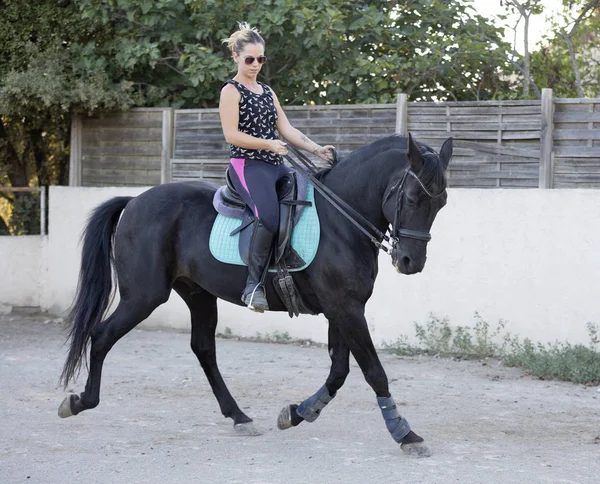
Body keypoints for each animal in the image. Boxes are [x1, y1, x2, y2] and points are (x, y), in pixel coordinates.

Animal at [59, 133, 450, 458]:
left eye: (441, 203)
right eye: (411, 198)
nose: (410, 262)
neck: (340, 221)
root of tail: (135, 201)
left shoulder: (341, 308)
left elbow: (339, 371)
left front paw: (297, 412)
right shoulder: (345, 308)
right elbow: (373, 371)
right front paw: (405, 434)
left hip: (198, 294)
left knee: (203, 348)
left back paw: (238, 416)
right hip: (144, 296)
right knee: (102, 335)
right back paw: (79, 402)